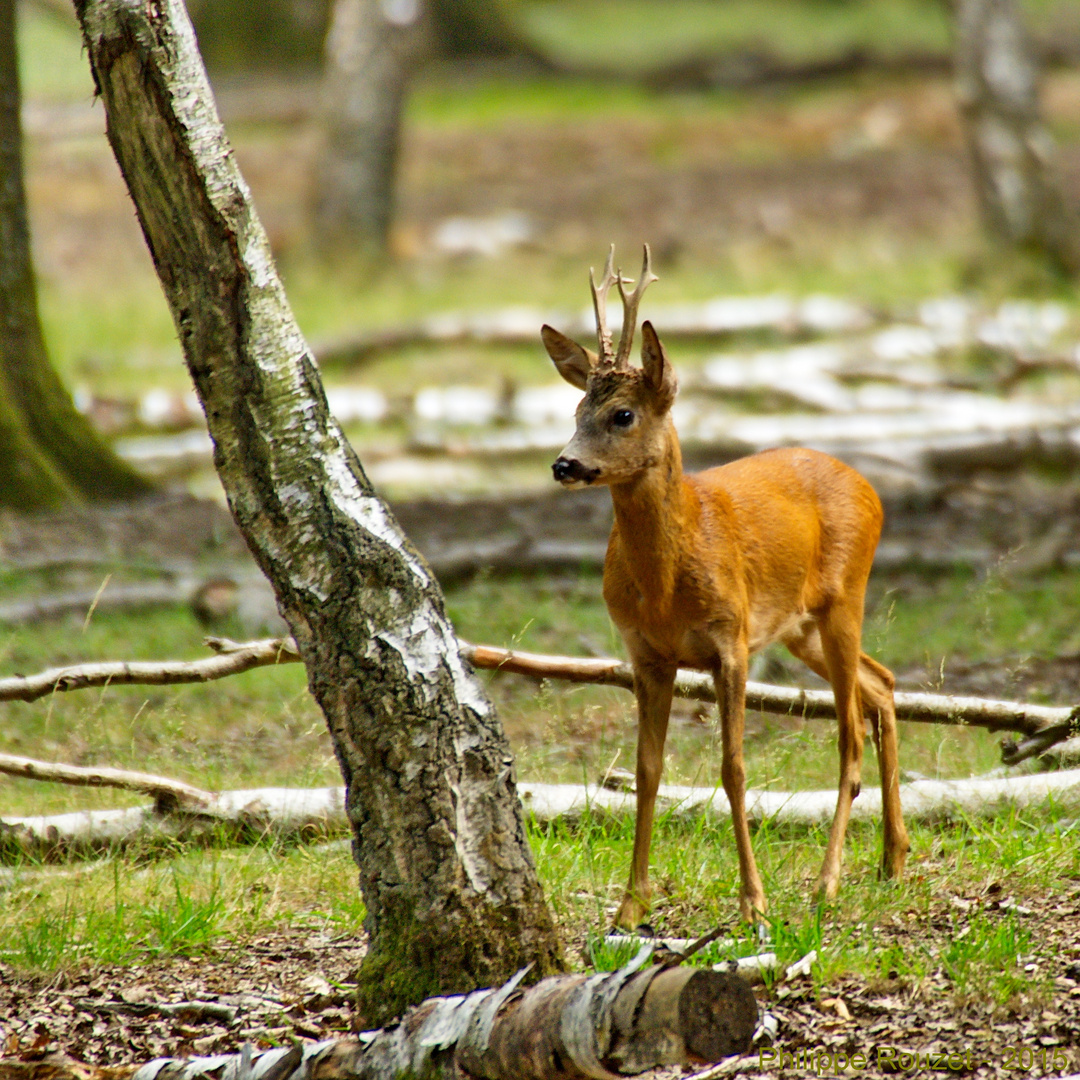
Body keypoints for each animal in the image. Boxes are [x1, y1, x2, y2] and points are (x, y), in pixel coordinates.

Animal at [544, 245, 907, 928]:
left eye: (622, 414)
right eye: (575, 412)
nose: (564, 463)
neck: (663, 585)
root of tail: (868, 486)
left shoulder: (729, 640)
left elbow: (734, 767)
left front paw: (754, 902)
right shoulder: (645, 653)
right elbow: (647, 769)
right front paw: (630, 907)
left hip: (846, 594)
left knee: (849, 735)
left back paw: (828, 882)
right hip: (799, 626)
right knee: (883, 684)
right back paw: (893, 858)